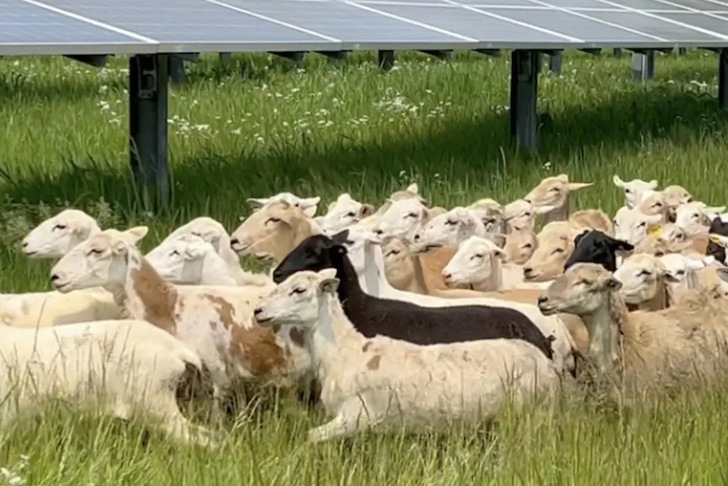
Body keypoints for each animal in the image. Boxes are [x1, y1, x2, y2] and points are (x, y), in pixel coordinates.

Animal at [253, 268, 560, 442]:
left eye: (299, 290)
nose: (258, 311)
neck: (343, 351)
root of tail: (544, 356)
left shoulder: (356, 417)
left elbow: (310, 438)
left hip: (530, 410)